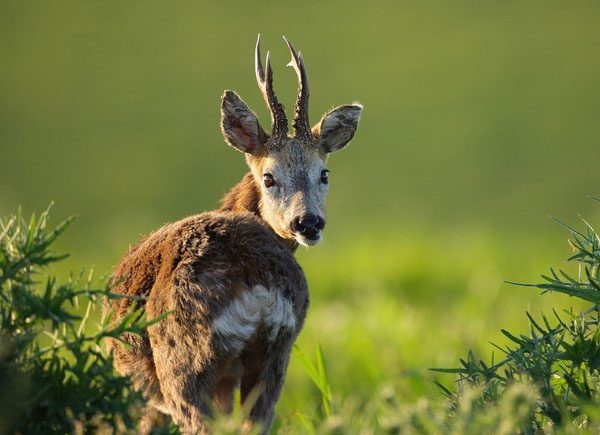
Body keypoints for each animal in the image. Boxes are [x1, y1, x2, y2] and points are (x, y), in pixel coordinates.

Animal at [104, 35, 360, 434]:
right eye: (269, 177)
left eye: (324, 173)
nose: (308, 223)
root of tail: (253, 278)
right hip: (275, 358)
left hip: (183, 364)